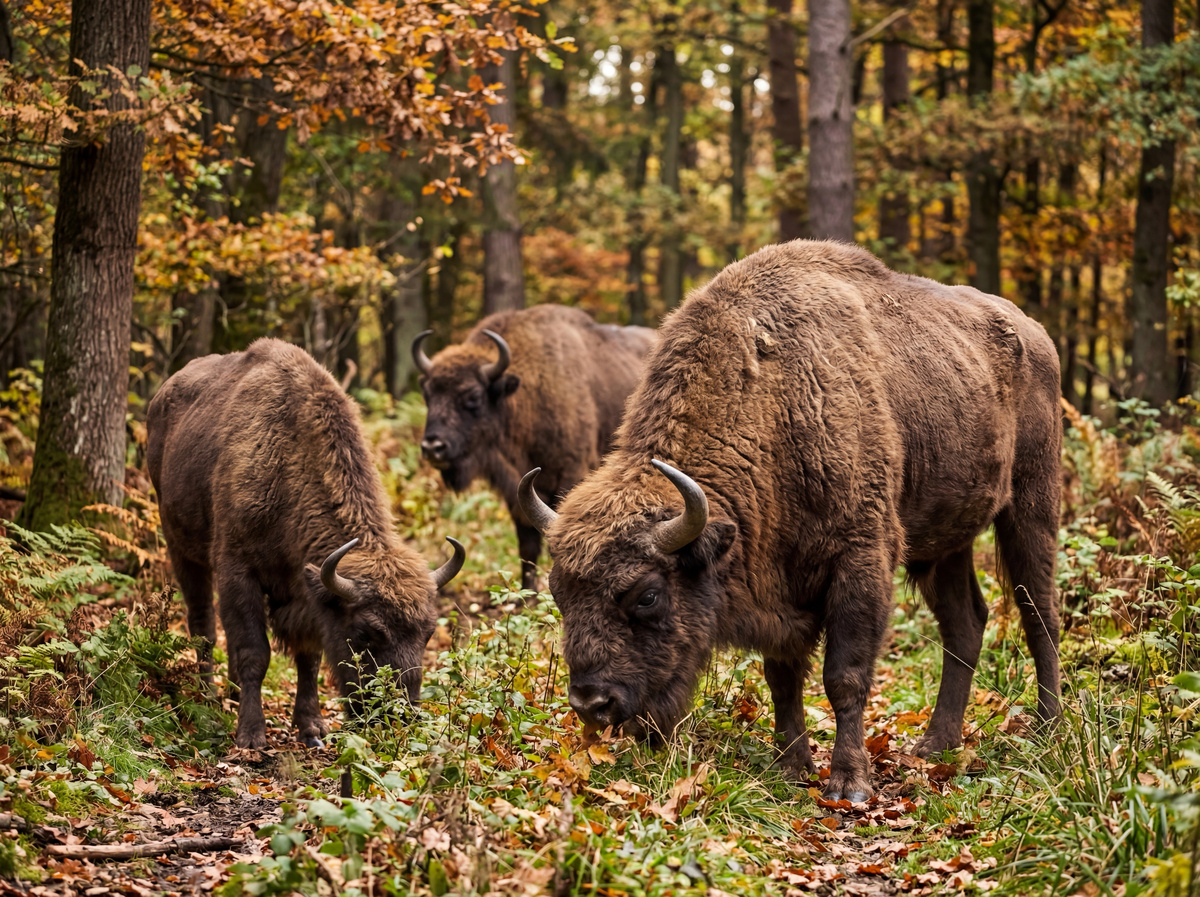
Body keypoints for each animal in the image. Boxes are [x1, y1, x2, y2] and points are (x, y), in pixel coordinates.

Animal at [147, 338, 464, 749]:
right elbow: (254, 652)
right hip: (182, 549)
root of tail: (161, 396)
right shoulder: (238, 570)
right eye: (367, 633)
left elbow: (308, 657)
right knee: (203, 623)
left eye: (428, 634)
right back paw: (209, 697)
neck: (288, 460)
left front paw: (312, 727)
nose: (399, 715)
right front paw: (251, 735)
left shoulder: (305, 592)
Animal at [413, 304, 655, 591]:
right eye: (428, 395)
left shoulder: (570, 475)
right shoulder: (519, 491)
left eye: (473, 396)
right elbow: (527, 546)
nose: (433, 447)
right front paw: (528, 593)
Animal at [519, 240, 1061, 801]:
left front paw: (849, 783)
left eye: (647, 596)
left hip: (1032, 504)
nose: (591, 703)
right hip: (944, 544)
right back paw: (936, 745)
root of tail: (1034, 333)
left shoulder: (860, 560)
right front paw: (790, 767)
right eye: (559, 594)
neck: (773, 404)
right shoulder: (778, 581)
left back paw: (1047, 729)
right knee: (965, 623)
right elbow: (783, 677)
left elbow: (843, 677)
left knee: (1039, 613)